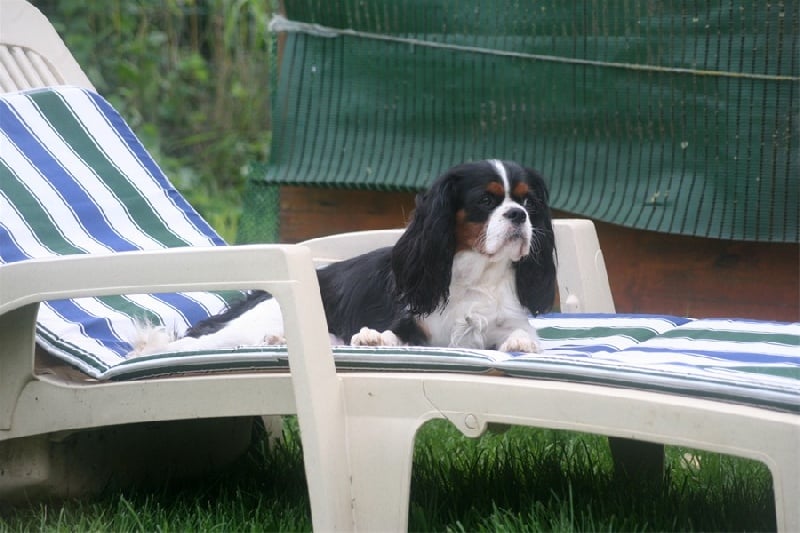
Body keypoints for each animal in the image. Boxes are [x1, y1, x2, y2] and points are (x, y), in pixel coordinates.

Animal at [130, 159, 556, 356]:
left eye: (528, 203)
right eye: (485, 201)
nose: (518, 216)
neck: (476, 273)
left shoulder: (504, 320)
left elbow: (519, 332)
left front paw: (521, 344)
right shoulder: (415, 325)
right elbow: (392, 335)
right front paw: (372, 337)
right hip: (244, 324)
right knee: (184, 345)